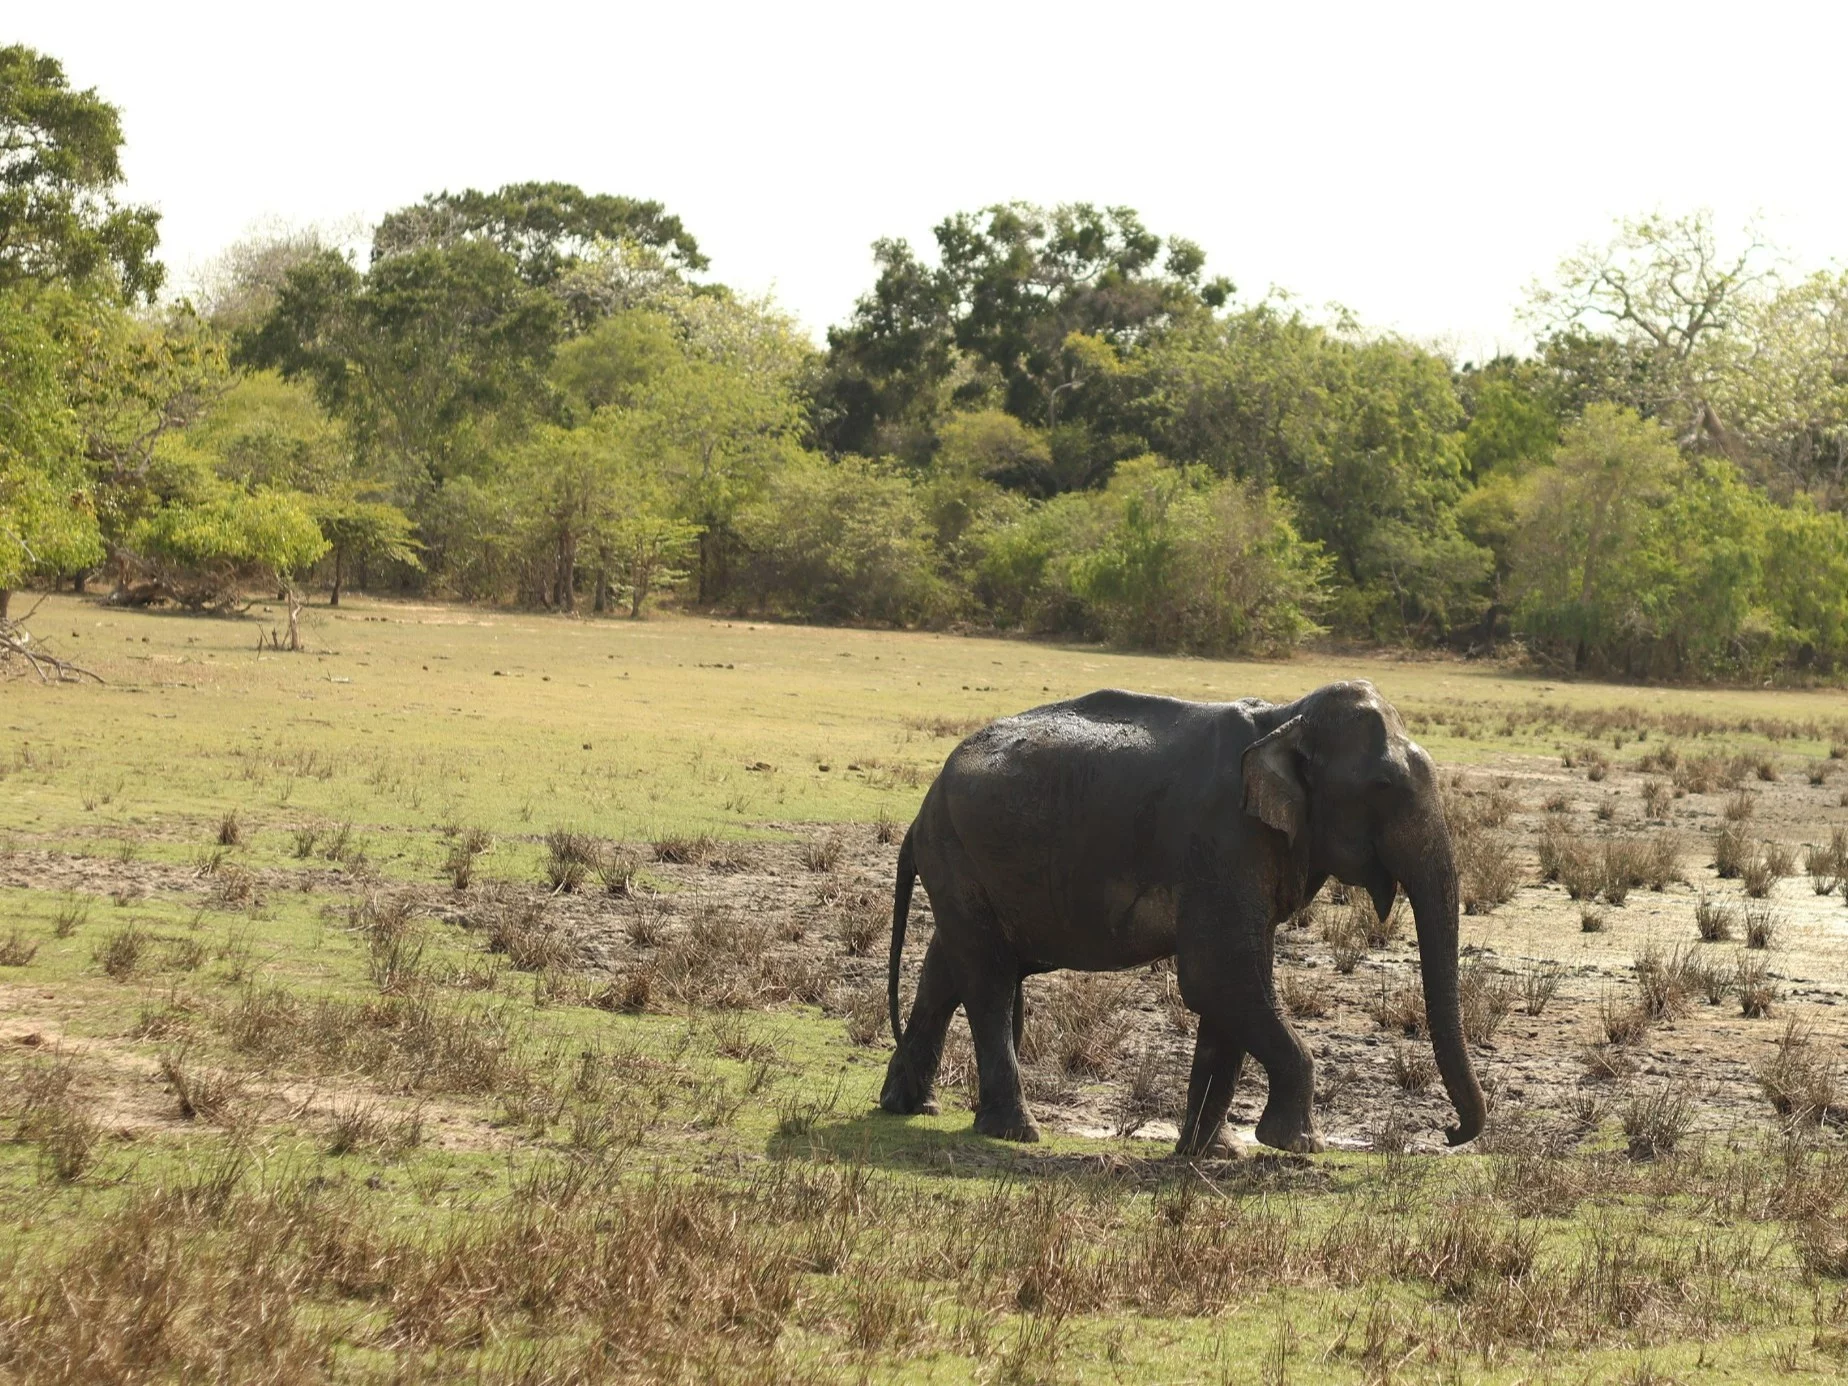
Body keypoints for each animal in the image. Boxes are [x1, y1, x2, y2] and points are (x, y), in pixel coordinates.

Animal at [875, 680, 1485, 1153]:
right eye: (1382, 786)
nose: (1449, 1134)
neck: (1285, 718)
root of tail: (921, 810)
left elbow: (1231, 994)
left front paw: (1208, 1153)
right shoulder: (1225, 840)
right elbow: (1221, 976)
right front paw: (1294, 1145)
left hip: (967, 864)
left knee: (949, 967)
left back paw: (911, 1107)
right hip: (958, 851)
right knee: (989, 981)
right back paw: (1015, 1132)